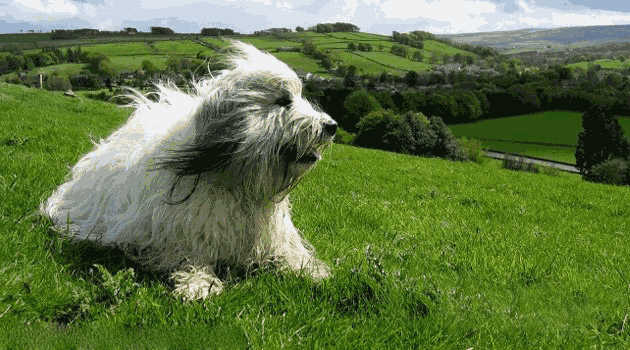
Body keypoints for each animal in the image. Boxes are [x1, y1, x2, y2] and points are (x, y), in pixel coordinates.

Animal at [42, 40, 338, 298]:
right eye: (283, 101)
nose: (331, 126)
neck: (236, 181)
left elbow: (288, 253)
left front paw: (310, 270)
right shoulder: (176, 235)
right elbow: (191, 256)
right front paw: (199, 283)